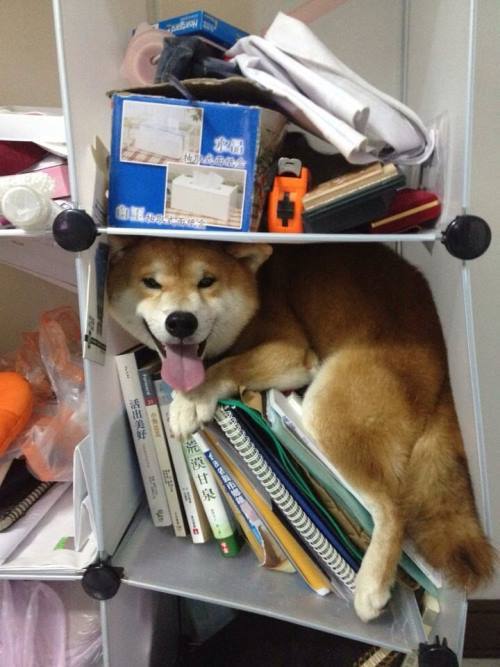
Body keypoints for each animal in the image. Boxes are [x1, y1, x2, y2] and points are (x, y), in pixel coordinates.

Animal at [107, 237, 494, 624]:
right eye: (151, 282)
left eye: (207, 281)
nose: (181, 321)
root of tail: (443, 371)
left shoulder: (289, 352)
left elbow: (228, 365)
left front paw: (191, 399)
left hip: (330, 409)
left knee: (393, 508)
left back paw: (371, 586)